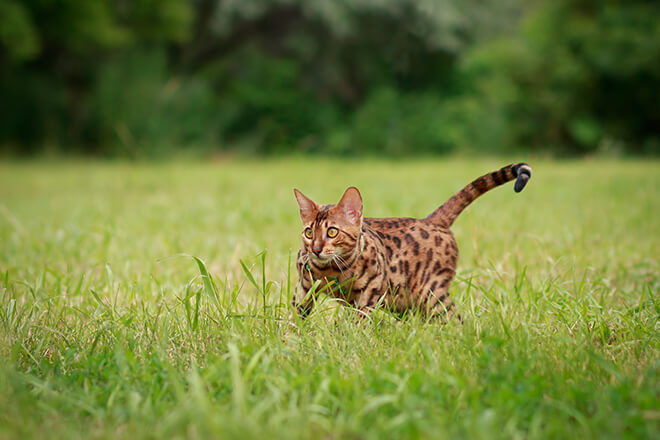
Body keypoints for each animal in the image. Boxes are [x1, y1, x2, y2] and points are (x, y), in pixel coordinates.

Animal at [292, 163, 532, 322]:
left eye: (332, 232)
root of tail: (431, 220)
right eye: (309, 232)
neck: (331, 271)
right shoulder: (304, 288)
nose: (315, 249)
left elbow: (358, 325)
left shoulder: (369, 295)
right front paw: (291, 343)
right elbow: (294, 319)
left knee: (456, 321)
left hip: (431, 293)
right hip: (407, 303)